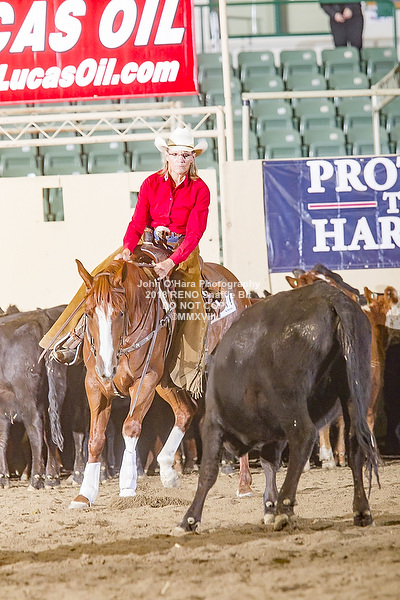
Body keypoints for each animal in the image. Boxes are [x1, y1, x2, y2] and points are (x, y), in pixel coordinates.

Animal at [69, 255, 251, 508]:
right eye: (88, 313)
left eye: (120, 313)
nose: (106, 366)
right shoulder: (95, 385)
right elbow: (95, 439)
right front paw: (84, 494)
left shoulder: (145, 380)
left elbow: (131, 427)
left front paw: (127, 485)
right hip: (166, 383)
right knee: (186, 411)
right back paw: (167, 470)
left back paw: (244, 485)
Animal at [176, 281, 380, 534]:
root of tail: (330, 295)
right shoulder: (273, 436)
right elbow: (270, 463)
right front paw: (269, 506)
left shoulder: (213, 423)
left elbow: (208, 472)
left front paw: (189, 519)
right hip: (353, 392)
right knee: (355, 444)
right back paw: (361, 510)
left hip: (290, 403)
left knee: (304, 437)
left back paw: (285, 507)